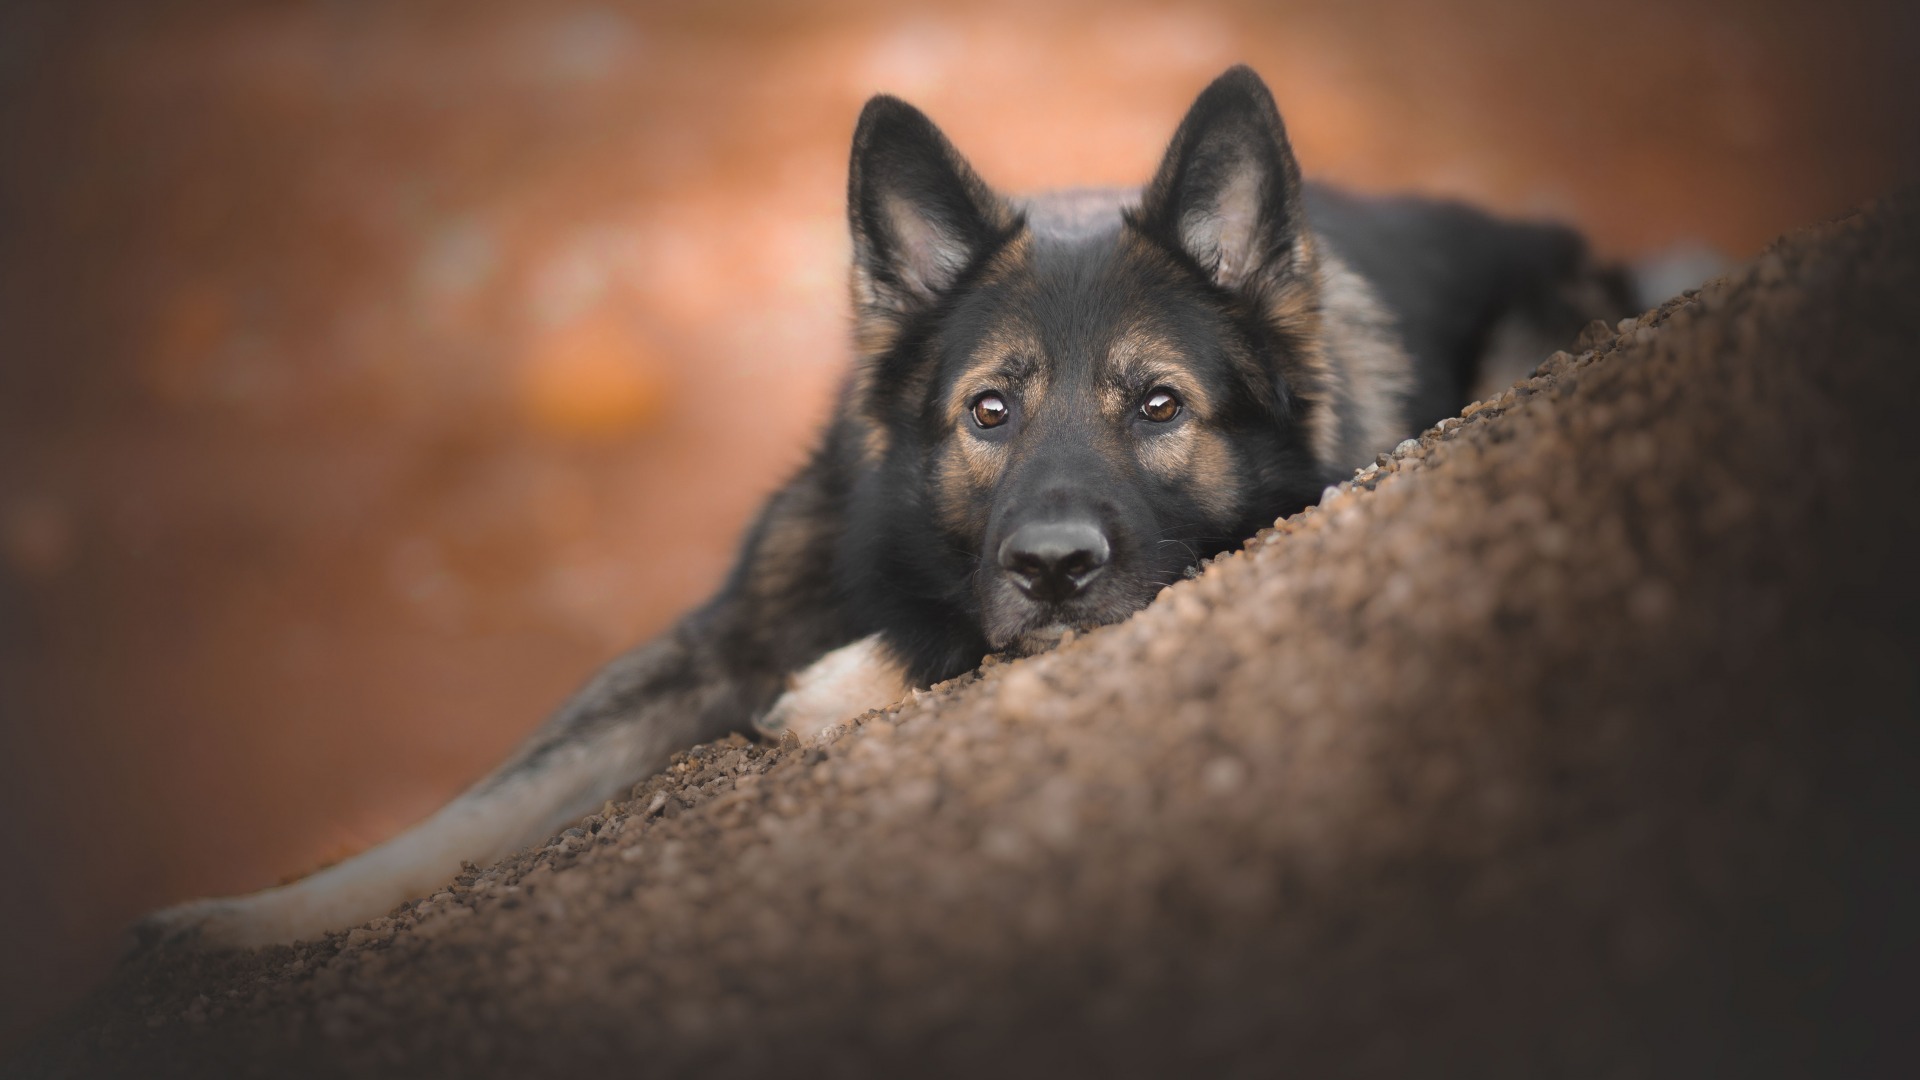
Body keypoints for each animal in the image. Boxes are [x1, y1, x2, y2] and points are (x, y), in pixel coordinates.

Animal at [139, 65, 1635, 941]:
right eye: (990, 413)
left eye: (1159, 408)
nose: (1050, 564)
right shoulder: (714, 639)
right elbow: (474, 809)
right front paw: (246, 919)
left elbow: (948, 637)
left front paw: (849, 683)